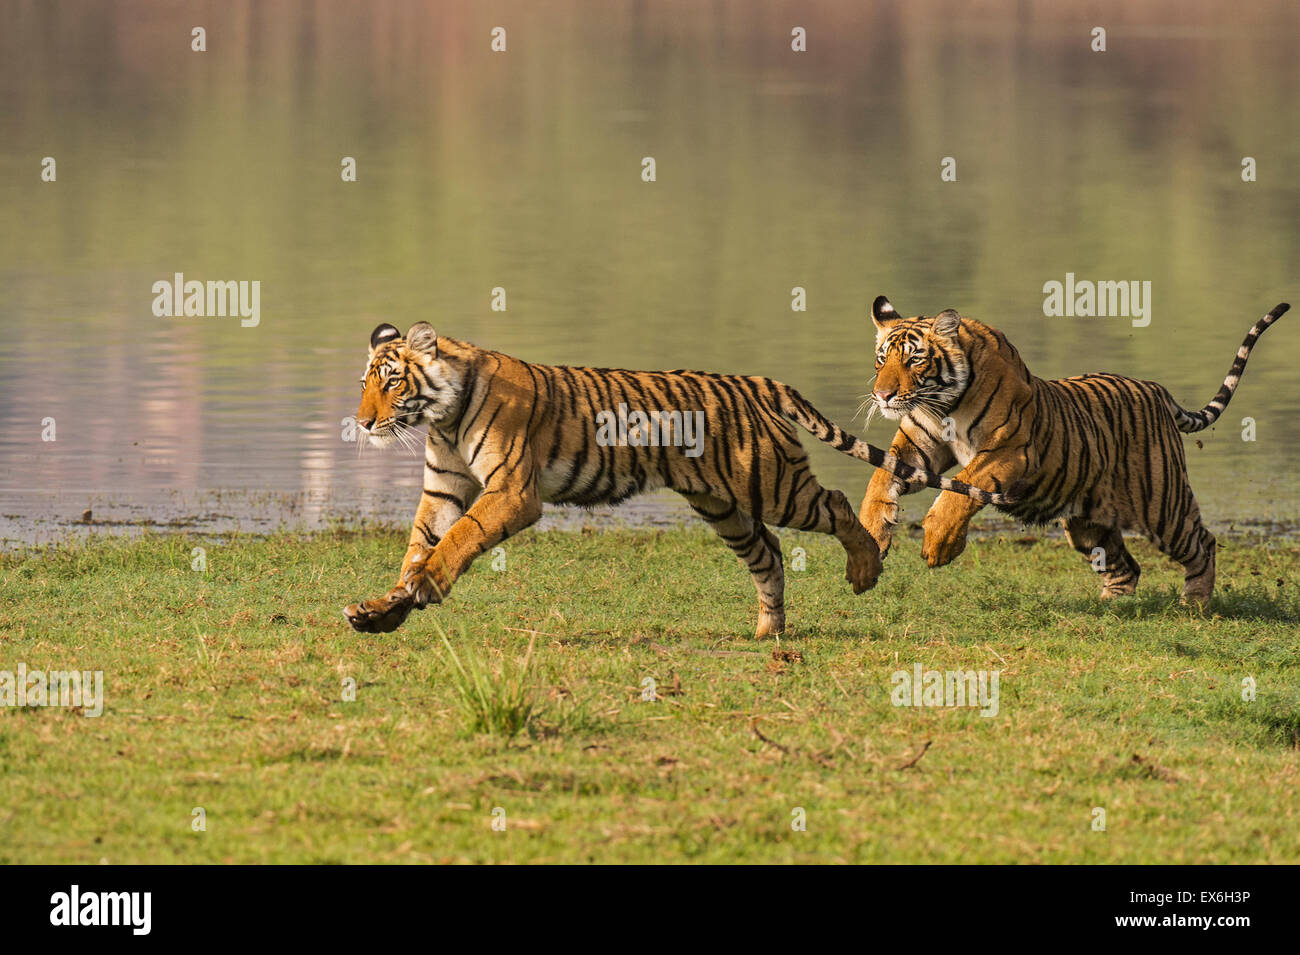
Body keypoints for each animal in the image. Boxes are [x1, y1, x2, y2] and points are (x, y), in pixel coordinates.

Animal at [342, 322, 1017, 637]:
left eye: (392, 381)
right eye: (366, 382)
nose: (365, 422)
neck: (442, 417)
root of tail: (757, 382)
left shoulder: (511, 490)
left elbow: (455, 543)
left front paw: (421, 590)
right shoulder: (444, 486)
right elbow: (418, 546)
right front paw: (384, 610)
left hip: (773, 484)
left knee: (834, 503)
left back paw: (864, 569)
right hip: (720, 502)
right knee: (769, 554)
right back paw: (767, 631)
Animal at [857, 295, 1290, 606]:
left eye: (915, 359)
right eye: (881, 359)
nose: (882, 395)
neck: (943, 405)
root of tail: (1157, 391)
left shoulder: (1010, 449)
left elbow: (960, 491)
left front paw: (938, 544)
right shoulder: (920, 446)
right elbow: (880, 478)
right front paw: (873, 534)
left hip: (1163, 507)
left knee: (1203, 543)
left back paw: (1194, 604)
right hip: (1088, 524)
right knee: (1126, 567)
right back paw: (1110, 608)